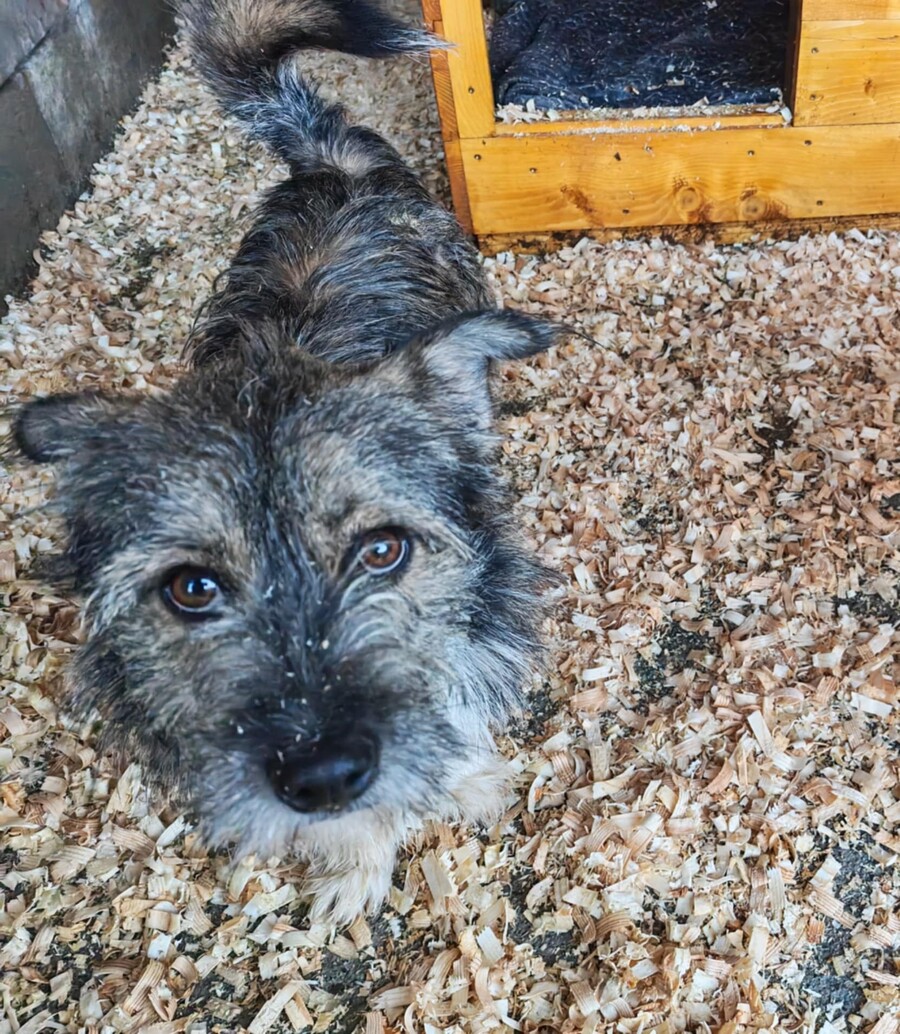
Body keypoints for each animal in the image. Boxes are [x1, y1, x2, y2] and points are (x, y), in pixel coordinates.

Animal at [11, 0, 561, 923]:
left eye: (383, 550)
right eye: (191, 588)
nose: (323, 775)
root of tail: (333, 159)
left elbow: (453, 696)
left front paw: (465, 784)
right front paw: (357, 861)